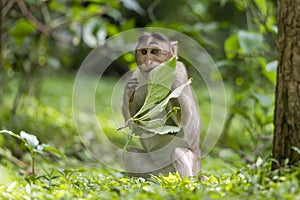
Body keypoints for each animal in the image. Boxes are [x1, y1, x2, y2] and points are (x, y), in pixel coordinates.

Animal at [120, 32, 200, 177]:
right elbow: (134, 124)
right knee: (129, 151)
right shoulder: (137, 74)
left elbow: (187, 122)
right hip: (154, 171)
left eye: (154, 51)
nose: (148, 62)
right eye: (144, 52)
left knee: (177, 153)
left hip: (192, 166)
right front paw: (129, 92)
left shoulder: (179, 73)